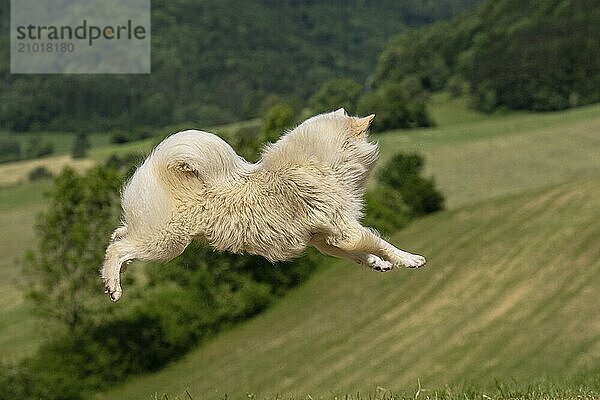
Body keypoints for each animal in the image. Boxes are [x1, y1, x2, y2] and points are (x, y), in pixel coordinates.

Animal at [101, 108, 424, 302]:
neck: (319, 164)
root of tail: (158, 167)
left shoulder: (325, 239)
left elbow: (358, 254)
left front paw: (377, 264)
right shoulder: (345, 228)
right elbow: (380, 242)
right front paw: (409, 259)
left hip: (151, 236)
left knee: (118, 237)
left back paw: (112, 273)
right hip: (165, 243)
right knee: (119, 248)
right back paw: (114, 286)